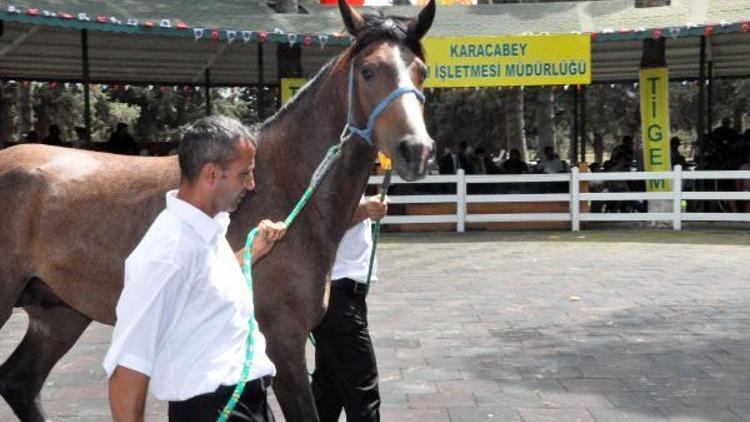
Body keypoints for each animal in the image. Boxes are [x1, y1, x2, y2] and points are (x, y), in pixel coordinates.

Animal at [0, 0, 434, 422]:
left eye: (422, 72)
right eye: (368, 70)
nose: (417, 150)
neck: (286, 184)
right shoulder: (283, 340)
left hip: (60, 313)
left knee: (19, 382)